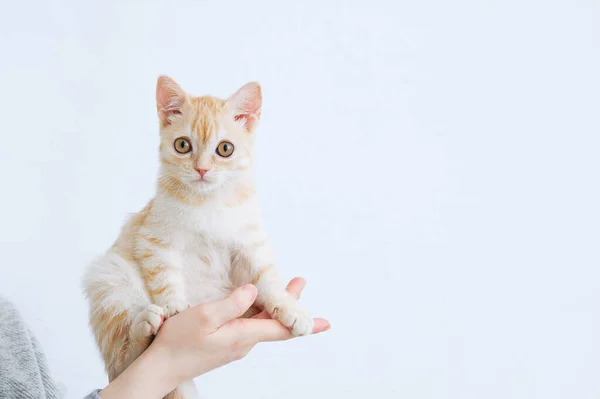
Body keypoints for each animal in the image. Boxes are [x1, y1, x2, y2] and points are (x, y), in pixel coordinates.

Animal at [83, 76, 314, 398]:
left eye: (225, 149)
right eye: (183, 145)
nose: (202, 169)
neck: (208, 201)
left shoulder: (249, 242)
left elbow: (266, 277)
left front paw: (290, 308)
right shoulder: (154, 238)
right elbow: (164, 273)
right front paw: (174, 305)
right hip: (109, 279)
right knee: (124, 359)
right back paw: (144, 326)